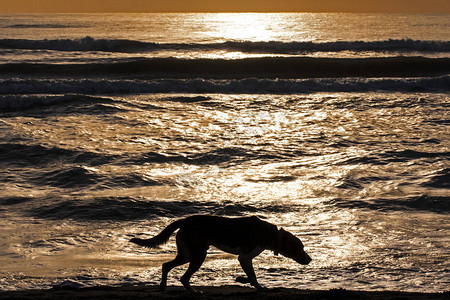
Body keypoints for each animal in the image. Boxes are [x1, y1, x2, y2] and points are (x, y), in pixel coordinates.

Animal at [131, 214, 310, 294]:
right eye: (300, 248)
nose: (310, 259)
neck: (271, 235)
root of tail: (187, 220)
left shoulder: (245, 259)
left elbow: (250, 276)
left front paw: (243, 280)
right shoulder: (244, 257)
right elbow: (253, 276)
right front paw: (257, 286)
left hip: (187, 254)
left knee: (166, 265)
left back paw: (163, 286)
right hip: (198, 255)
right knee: (183, 277)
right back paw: (193, 291)